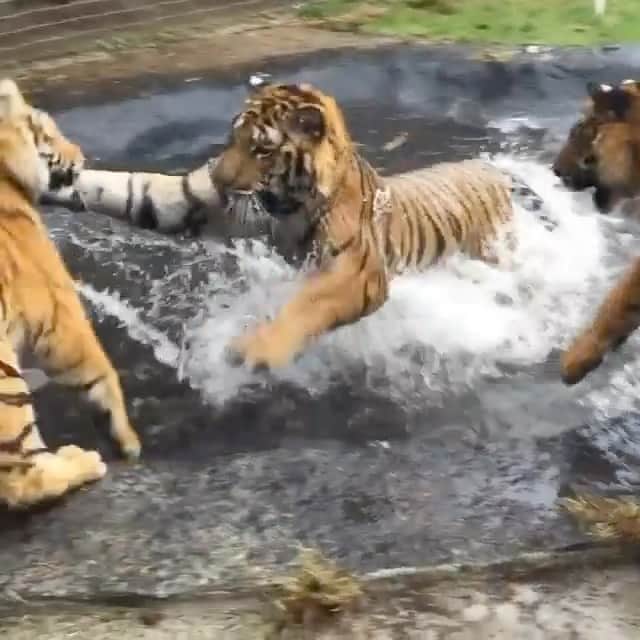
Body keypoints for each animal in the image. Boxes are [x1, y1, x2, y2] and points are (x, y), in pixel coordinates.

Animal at [0, 78, 141, 509]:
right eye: (47, 133)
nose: (81, 154)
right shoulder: (58, 308)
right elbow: (98, 368)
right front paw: (126, 439)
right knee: (20, 477)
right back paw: (83, 461)